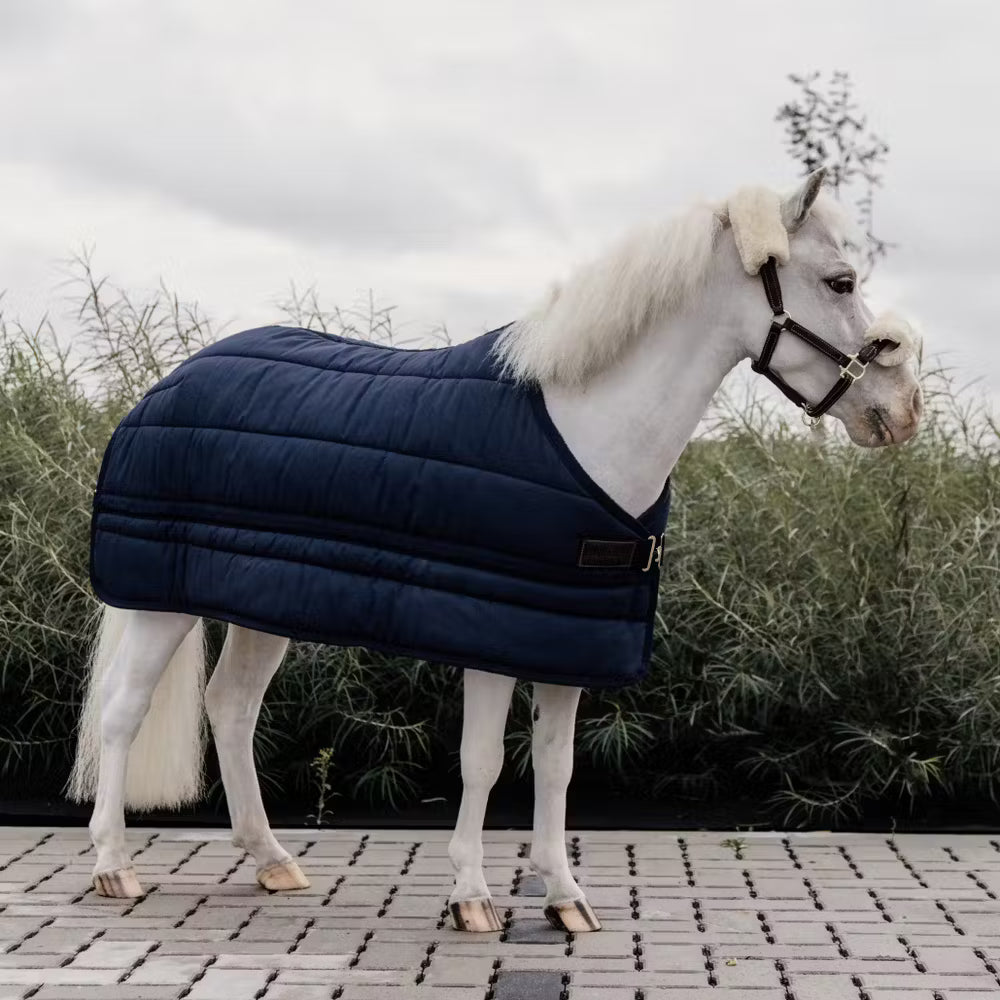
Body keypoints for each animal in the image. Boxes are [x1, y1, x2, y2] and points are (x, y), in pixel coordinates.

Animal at [69, 168, 923, 933]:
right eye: (840, 280)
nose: (901, 411)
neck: (581, 429)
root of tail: (164, 386)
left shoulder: (567, 639)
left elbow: (555, 765)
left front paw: (565, 897)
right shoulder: (490, 638)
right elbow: (482, 762)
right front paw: (472, 896)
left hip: (260, 607)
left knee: (232, 708)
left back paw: (272, 860)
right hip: (160, 603)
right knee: (122, 712)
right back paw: (113, 867)